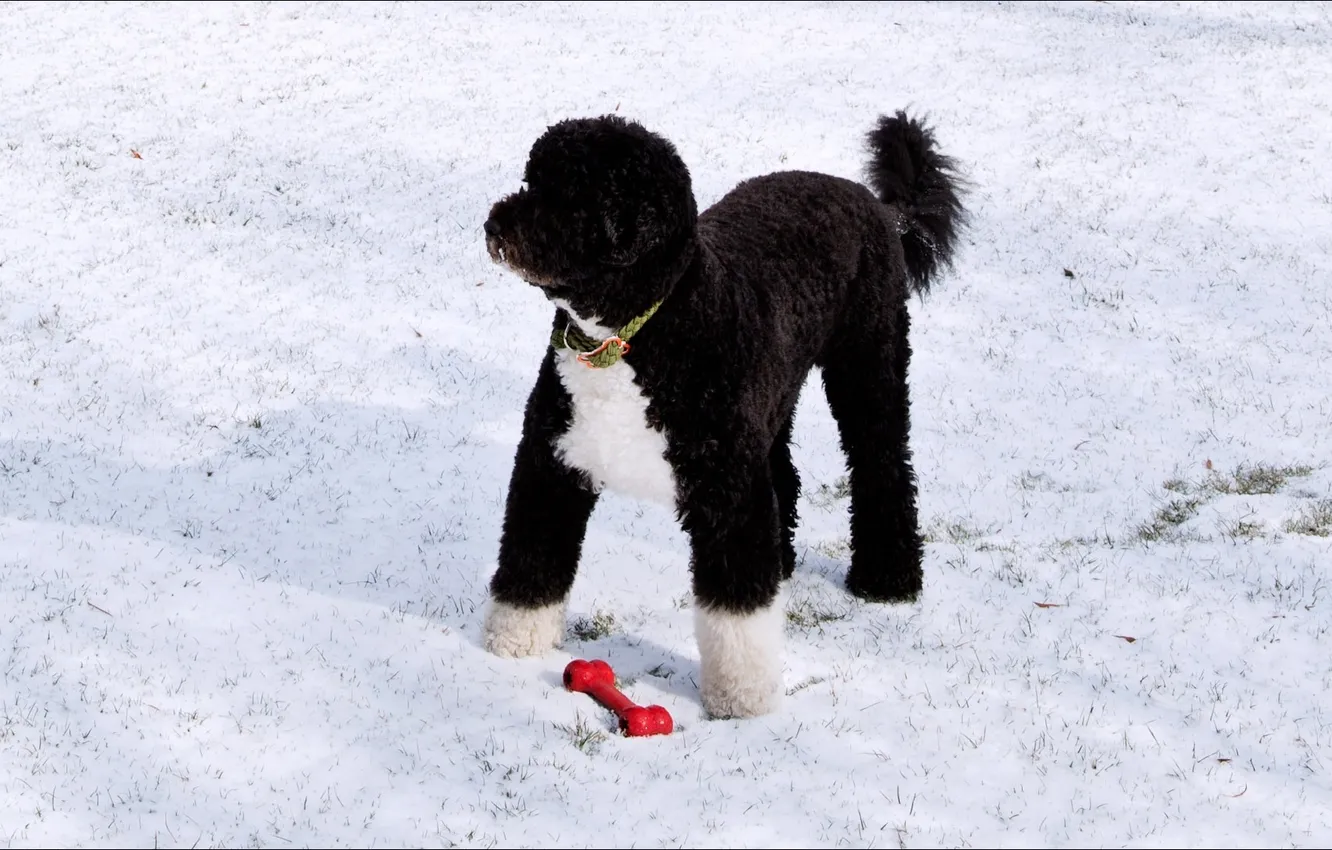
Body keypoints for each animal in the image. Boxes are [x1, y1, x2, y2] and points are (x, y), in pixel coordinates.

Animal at [479, 107, 969, 719]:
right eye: (531, 180)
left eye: (569, 195)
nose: (493, 226)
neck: (636, 335)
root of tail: (877, 204)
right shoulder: (554, 462)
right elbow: (532, 556)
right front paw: (515, 640)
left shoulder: (727, 494)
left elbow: (737, 610)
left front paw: (743, 695)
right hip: (771, 400)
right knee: (784, 475)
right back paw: (783, 564)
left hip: (868, 363)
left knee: (883, 466)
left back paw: (888, 577)